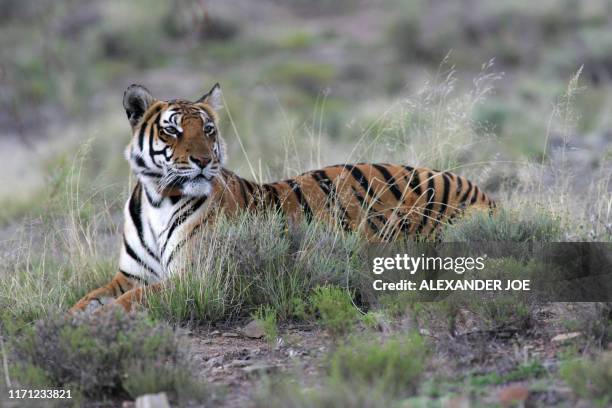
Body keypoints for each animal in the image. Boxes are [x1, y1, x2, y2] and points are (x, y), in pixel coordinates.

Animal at [68, 83, 498, 312]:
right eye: (172, 130)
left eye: (208, 129)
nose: (204, 161)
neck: (160, 197)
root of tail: (480, 190)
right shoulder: (129, 275)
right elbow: (91, 297)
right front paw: (69, 317)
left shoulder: (197, 276)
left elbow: (132, 300)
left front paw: (98, 320)